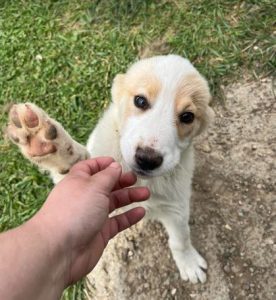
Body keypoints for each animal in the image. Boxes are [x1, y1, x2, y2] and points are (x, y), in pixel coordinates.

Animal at [5, 54, 213, 284]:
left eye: (187, 117)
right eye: (140, 101)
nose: (147, 159)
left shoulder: (177, 207)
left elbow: (181, 238)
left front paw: (188, 262)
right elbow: (75, 165)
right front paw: (44, 139)